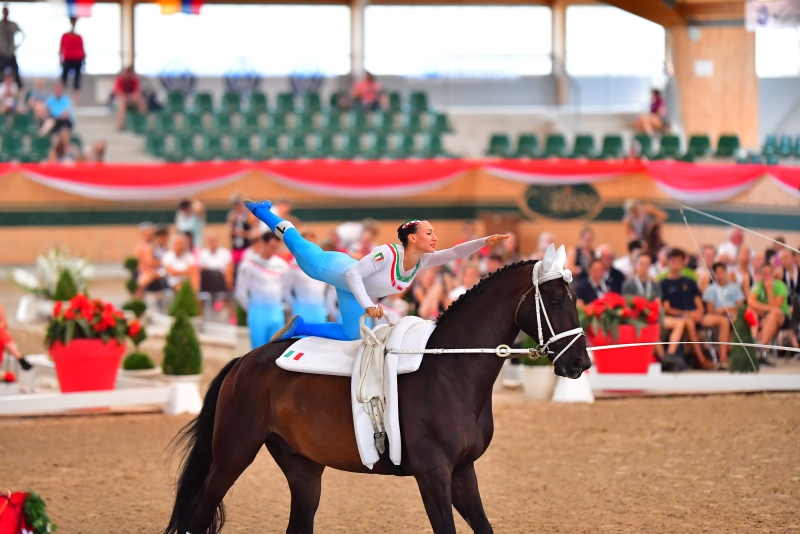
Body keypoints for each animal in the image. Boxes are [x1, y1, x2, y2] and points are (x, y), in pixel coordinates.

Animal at [164, 260, 588, 534]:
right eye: (554, 301)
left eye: (574, 298)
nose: (579, 363)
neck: (450, 369)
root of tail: (244, 362)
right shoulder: (433, 475)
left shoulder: (463, 471)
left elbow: (484, 527)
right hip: (233, 453)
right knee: (198, 511)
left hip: (302, 468)